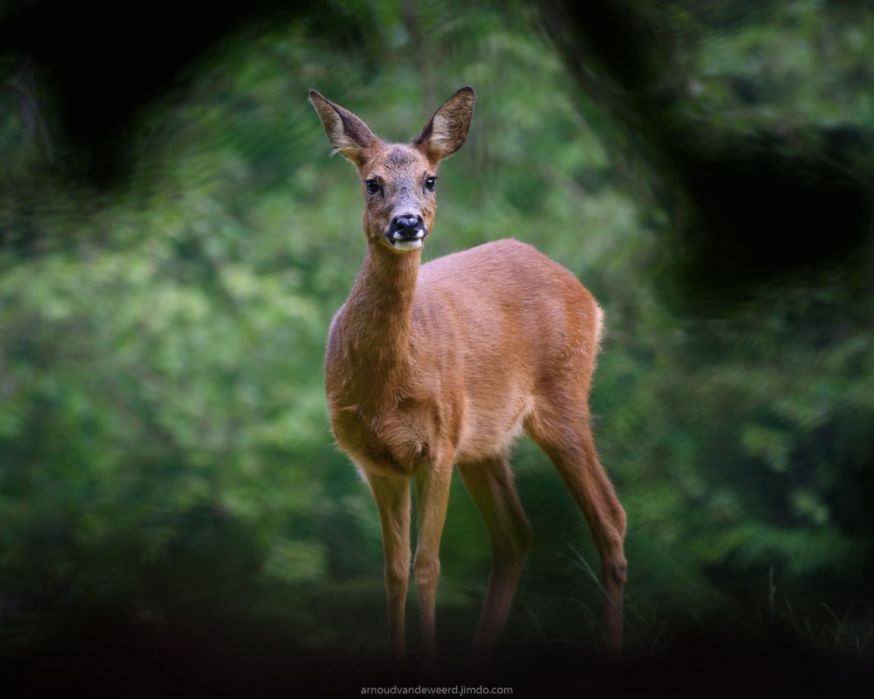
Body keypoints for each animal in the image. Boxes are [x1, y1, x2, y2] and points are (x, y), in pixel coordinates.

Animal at [310, 87, 624, 672]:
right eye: (372, 182)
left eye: (431, 179)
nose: (408, 223)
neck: (387, 382)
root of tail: (588, 299)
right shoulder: (375, 462)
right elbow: (392, 572)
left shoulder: (438, 445)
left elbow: (428, 566)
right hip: (484, 441)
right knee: (516, 534)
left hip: (562, 399)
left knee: (610, 518)